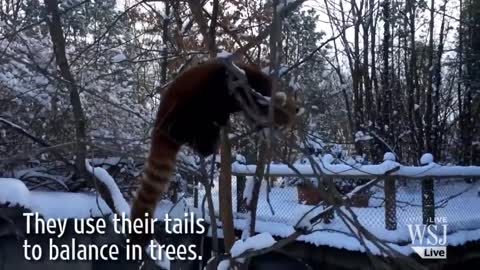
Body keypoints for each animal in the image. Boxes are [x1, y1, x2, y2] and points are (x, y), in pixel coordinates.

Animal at [129, 60, 298, 247]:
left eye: (281, 128)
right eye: (276, 125)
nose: (270, 136)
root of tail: (160, 121)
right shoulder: (236, 80)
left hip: (200, 125)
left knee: (205, 133)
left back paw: (209, 141)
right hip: (184, 104)